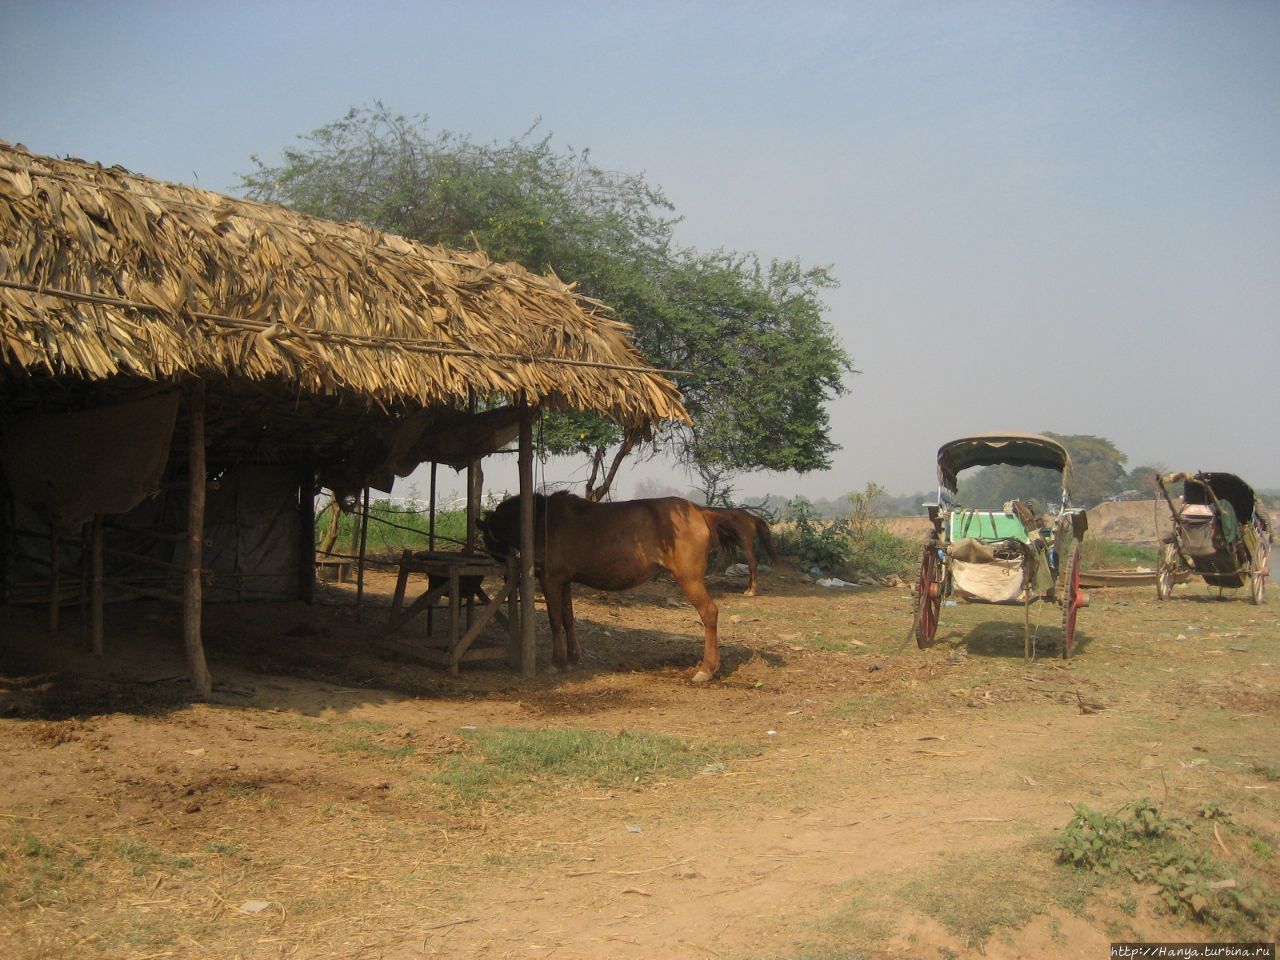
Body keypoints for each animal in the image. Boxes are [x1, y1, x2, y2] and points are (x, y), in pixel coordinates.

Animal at [478, 496, 732, 686]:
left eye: (487, 538)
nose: (504, 573)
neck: (542, 519)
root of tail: (701, 512)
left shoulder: (551, 580)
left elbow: (555, 620)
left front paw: (556, 662)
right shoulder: (565, 581)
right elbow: (568, 619)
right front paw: (572, 659)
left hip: (689, 579)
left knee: (709, 613)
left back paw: (706, 669)